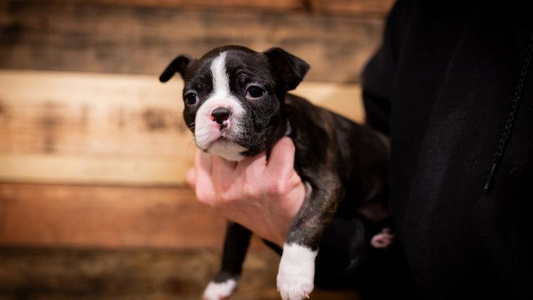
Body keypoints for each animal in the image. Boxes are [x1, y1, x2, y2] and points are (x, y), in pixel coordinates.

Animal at [160, 45, 388, 300]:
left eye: (254, 91)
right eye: (191, 98)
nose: (219, 112)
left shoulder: (327, 185)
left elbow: (303, 225)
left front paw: (293, 278)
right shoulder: (238, 211)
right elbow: (233, 239)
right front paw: (223, 282)